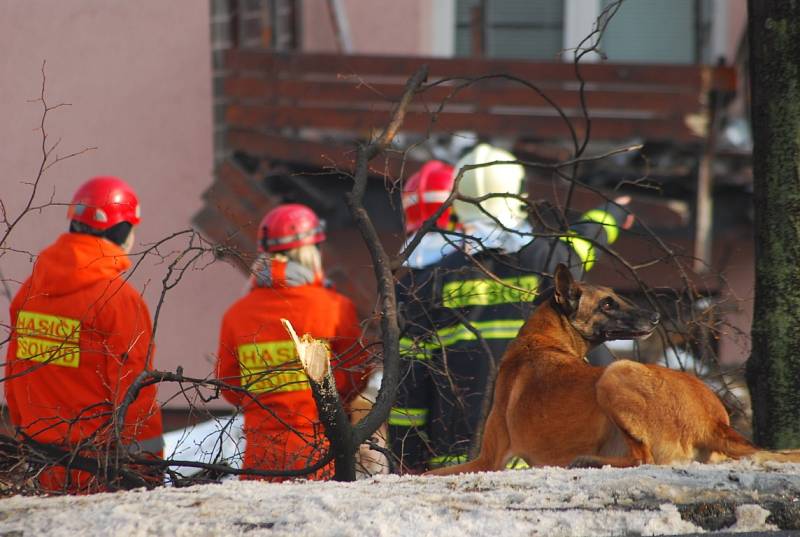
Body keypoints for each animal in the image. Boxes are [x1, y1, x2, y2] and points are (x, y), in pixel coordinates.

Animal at [432, 264, 800, 474]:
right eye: (608, 303)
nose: (655, 317)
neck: (545, 338)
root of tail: (715, 421)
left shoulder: (488, 460)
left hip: (614, 375)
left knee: (642, 458)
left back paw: (588, 461)